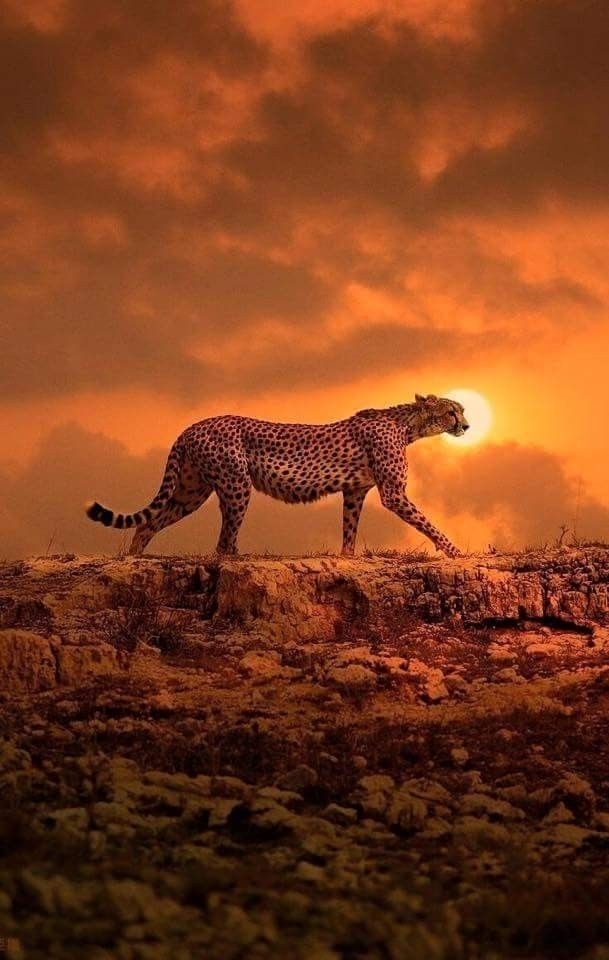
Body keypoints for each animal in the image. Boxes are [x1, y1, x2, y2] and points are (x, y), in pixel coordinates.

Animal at [86, 393, 469, 557]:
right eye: (452, 411)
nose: (466, 425)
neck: (408, 424)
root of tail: (191, 426)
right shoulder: (393, 493)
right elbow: (427, 522)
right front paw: (454, 550)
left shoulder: (355, 491)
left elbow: (350, 526)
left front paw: (347, 556)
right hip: (236, 484)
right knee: (222, 541)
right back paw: (238, 558)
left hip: (191, 492)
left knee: (149, 523)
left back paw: (132, 559)